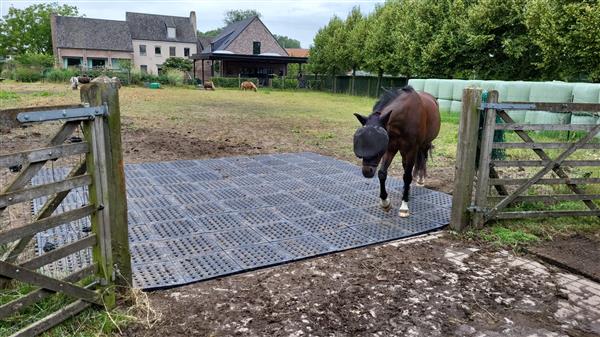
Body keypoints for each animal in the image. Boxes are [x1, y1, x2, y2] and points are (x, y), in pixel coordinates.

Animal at [352, 85, 440, 217]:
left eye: (378, 145)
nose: (367, 172)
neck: (406, 116)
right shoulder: (390, 148)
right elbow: (382, 173)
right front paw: (385, 202)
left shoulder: (411, 150)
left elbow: (407, 176)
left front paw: (404, 206)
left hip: (423, 144)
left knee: (423, 159)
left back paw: (420, 180)